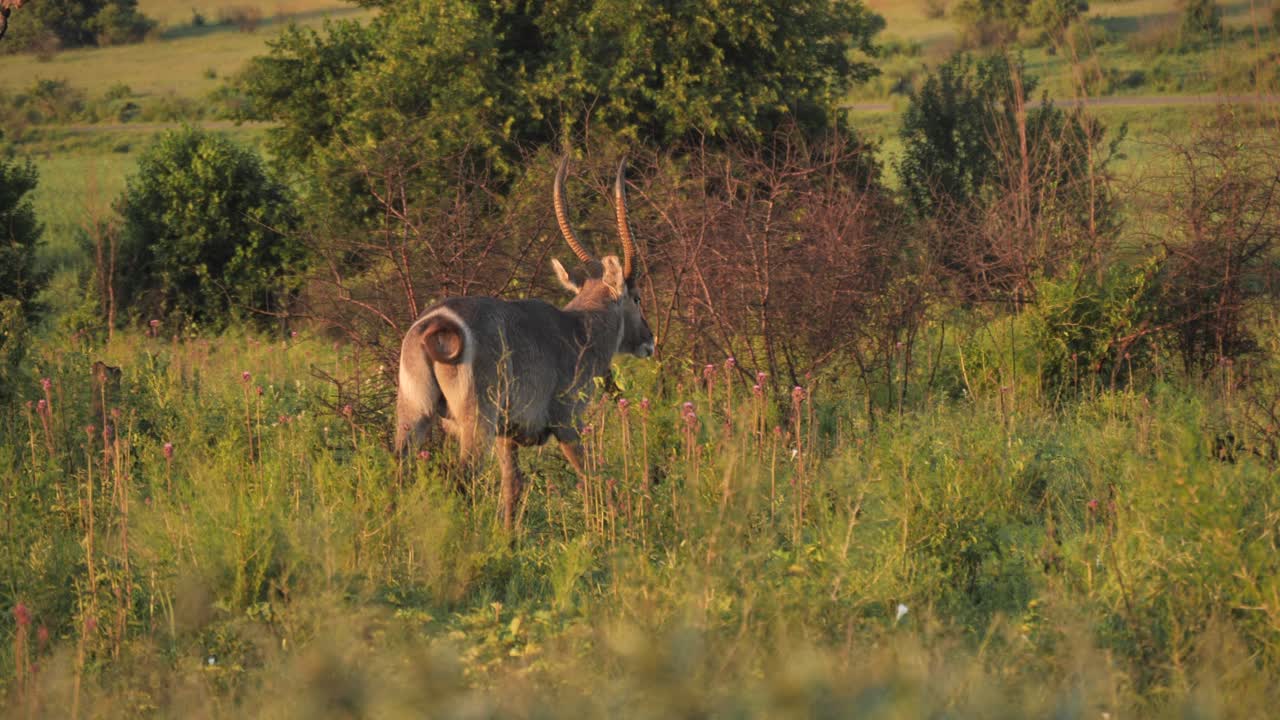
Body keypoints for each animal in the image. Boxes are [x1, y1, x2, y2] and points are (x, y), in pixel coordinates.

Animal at [394, 155, 655, 530]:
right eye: (636, 297)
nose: (650, 340)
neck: (578, 329)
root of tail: (439, 321)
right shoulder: (568, 423)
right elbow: (592, 475)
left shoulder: (508, 434)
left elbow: (512, 486)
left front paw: (509, 537)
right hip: (476, 424)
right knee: (462, 481)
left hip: (413, 414)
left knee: (397, 476)